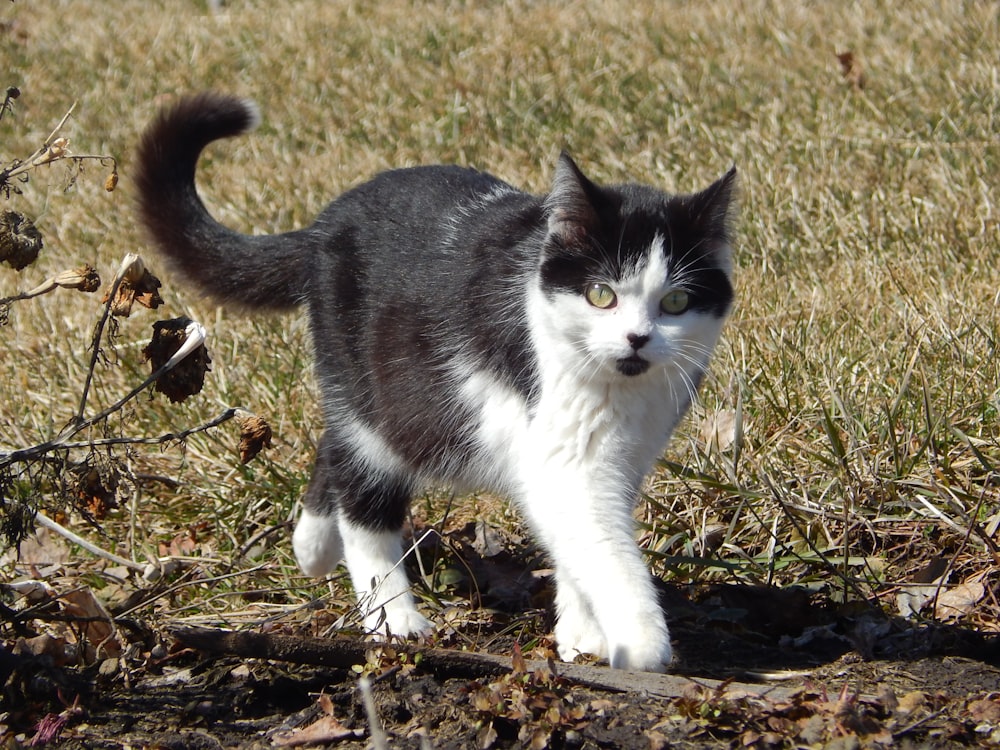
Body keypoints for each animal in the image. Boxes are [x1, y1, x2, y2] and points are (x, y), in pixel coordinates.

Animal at [135, 94, 736, 676]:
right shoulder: (558, 452)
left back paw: (313, 547)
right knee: (362, 485)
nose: (637, 339)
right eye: (601, 294)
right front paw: (642, 641)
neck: (617, 390)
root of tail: (326, 223)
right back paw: (390, 615)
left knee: (336, 443)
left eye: (676, 301)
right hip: (368, 380)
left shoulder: (627, 452)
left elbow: (579, 539)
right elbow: (600, 542)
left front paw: (582, 633)